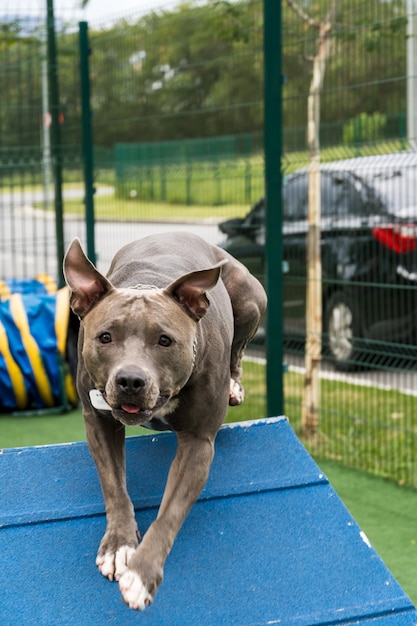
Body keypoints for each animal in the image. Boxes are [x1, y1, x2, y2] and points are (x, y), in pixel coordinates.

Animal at [64, 232, 266, 608]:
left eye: (165, 340)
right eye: (105, 337)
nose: (130, 380)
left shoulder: (198, 442)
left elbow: (169, 513)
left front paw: (141, 576)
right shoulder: (98, 422)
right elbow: (115, 488)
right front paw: (119, 546)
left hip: (250, 298)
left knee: (240, 348)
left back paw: (234, 385)